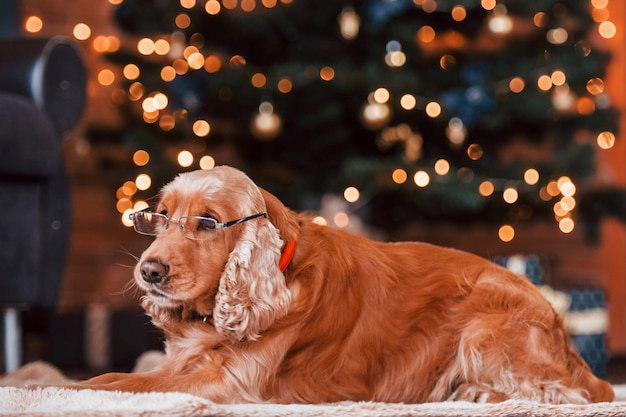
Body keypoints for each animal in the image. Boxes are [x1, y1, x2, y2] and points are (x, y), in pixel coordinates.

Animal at [75, 165, 612, 404]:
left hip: (484, 328)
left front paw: (78, 389)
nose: (149, 271)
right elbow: (132, 373)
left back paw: (478, 394)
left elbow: (120, 382)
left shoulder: (232, 381)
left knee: (565, 394)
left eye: (208, 223)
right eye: (158, 217)